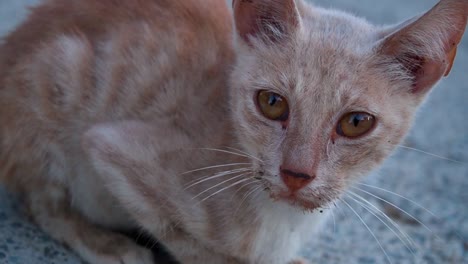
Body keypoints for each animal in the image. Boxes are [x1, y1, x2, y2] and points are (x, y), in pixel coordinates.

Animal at [0, 0, 466, 262]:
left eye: (356, 123)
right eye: (272, 102)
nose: (296, 174)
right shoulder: (112, 148)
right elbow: (191, 243)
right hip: (56, 78)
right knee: (40, 202)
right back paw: (104, 243)